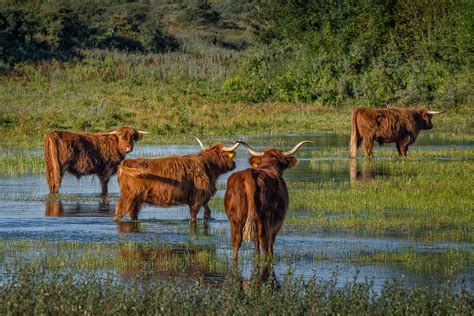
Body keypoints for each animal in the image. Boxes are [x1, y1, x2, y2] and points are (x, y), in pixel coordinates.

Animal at [113, 138, 241, 222]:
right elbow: (193, 216)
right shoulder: (197, 197)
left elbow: (207, 213)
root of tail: (126, 162)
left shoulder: (204, 197)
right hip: (128, 196)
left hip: (137, 199)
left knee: (133, 213)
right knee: (119, 211)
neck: (208, 166)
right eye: (229, 156)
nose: (234, 164)